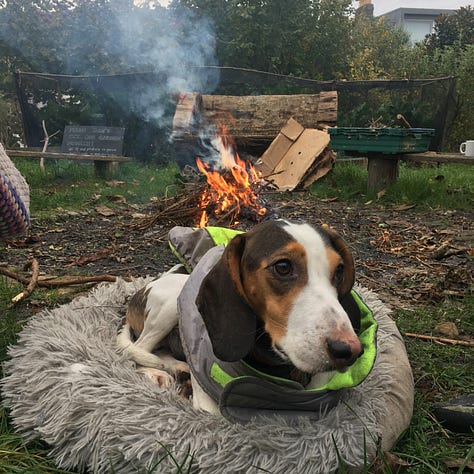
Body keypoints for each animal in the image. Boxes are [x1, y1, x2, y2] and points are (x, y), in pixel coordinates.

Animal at [117, 219, 362, 414]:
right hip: (170, 303)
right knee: (137, 349)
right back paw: (155, 373)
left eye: (340, 270)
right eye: (283, 266)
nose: (349, 350)